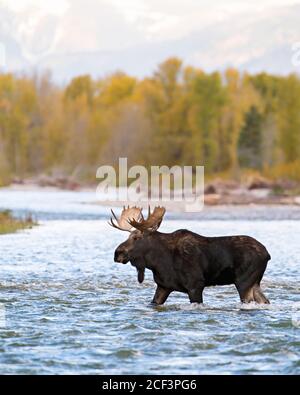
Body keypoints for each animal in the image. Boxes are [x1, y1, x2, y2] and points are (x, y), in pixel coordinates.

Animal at [109, 207, 270, 306]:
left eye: (136, 238)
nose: (117, 253)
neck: (158, 262)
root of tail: (267, 254)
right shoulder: (163, 286)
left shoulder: (195, 285)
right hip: (254, 283)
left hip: (243, 282)